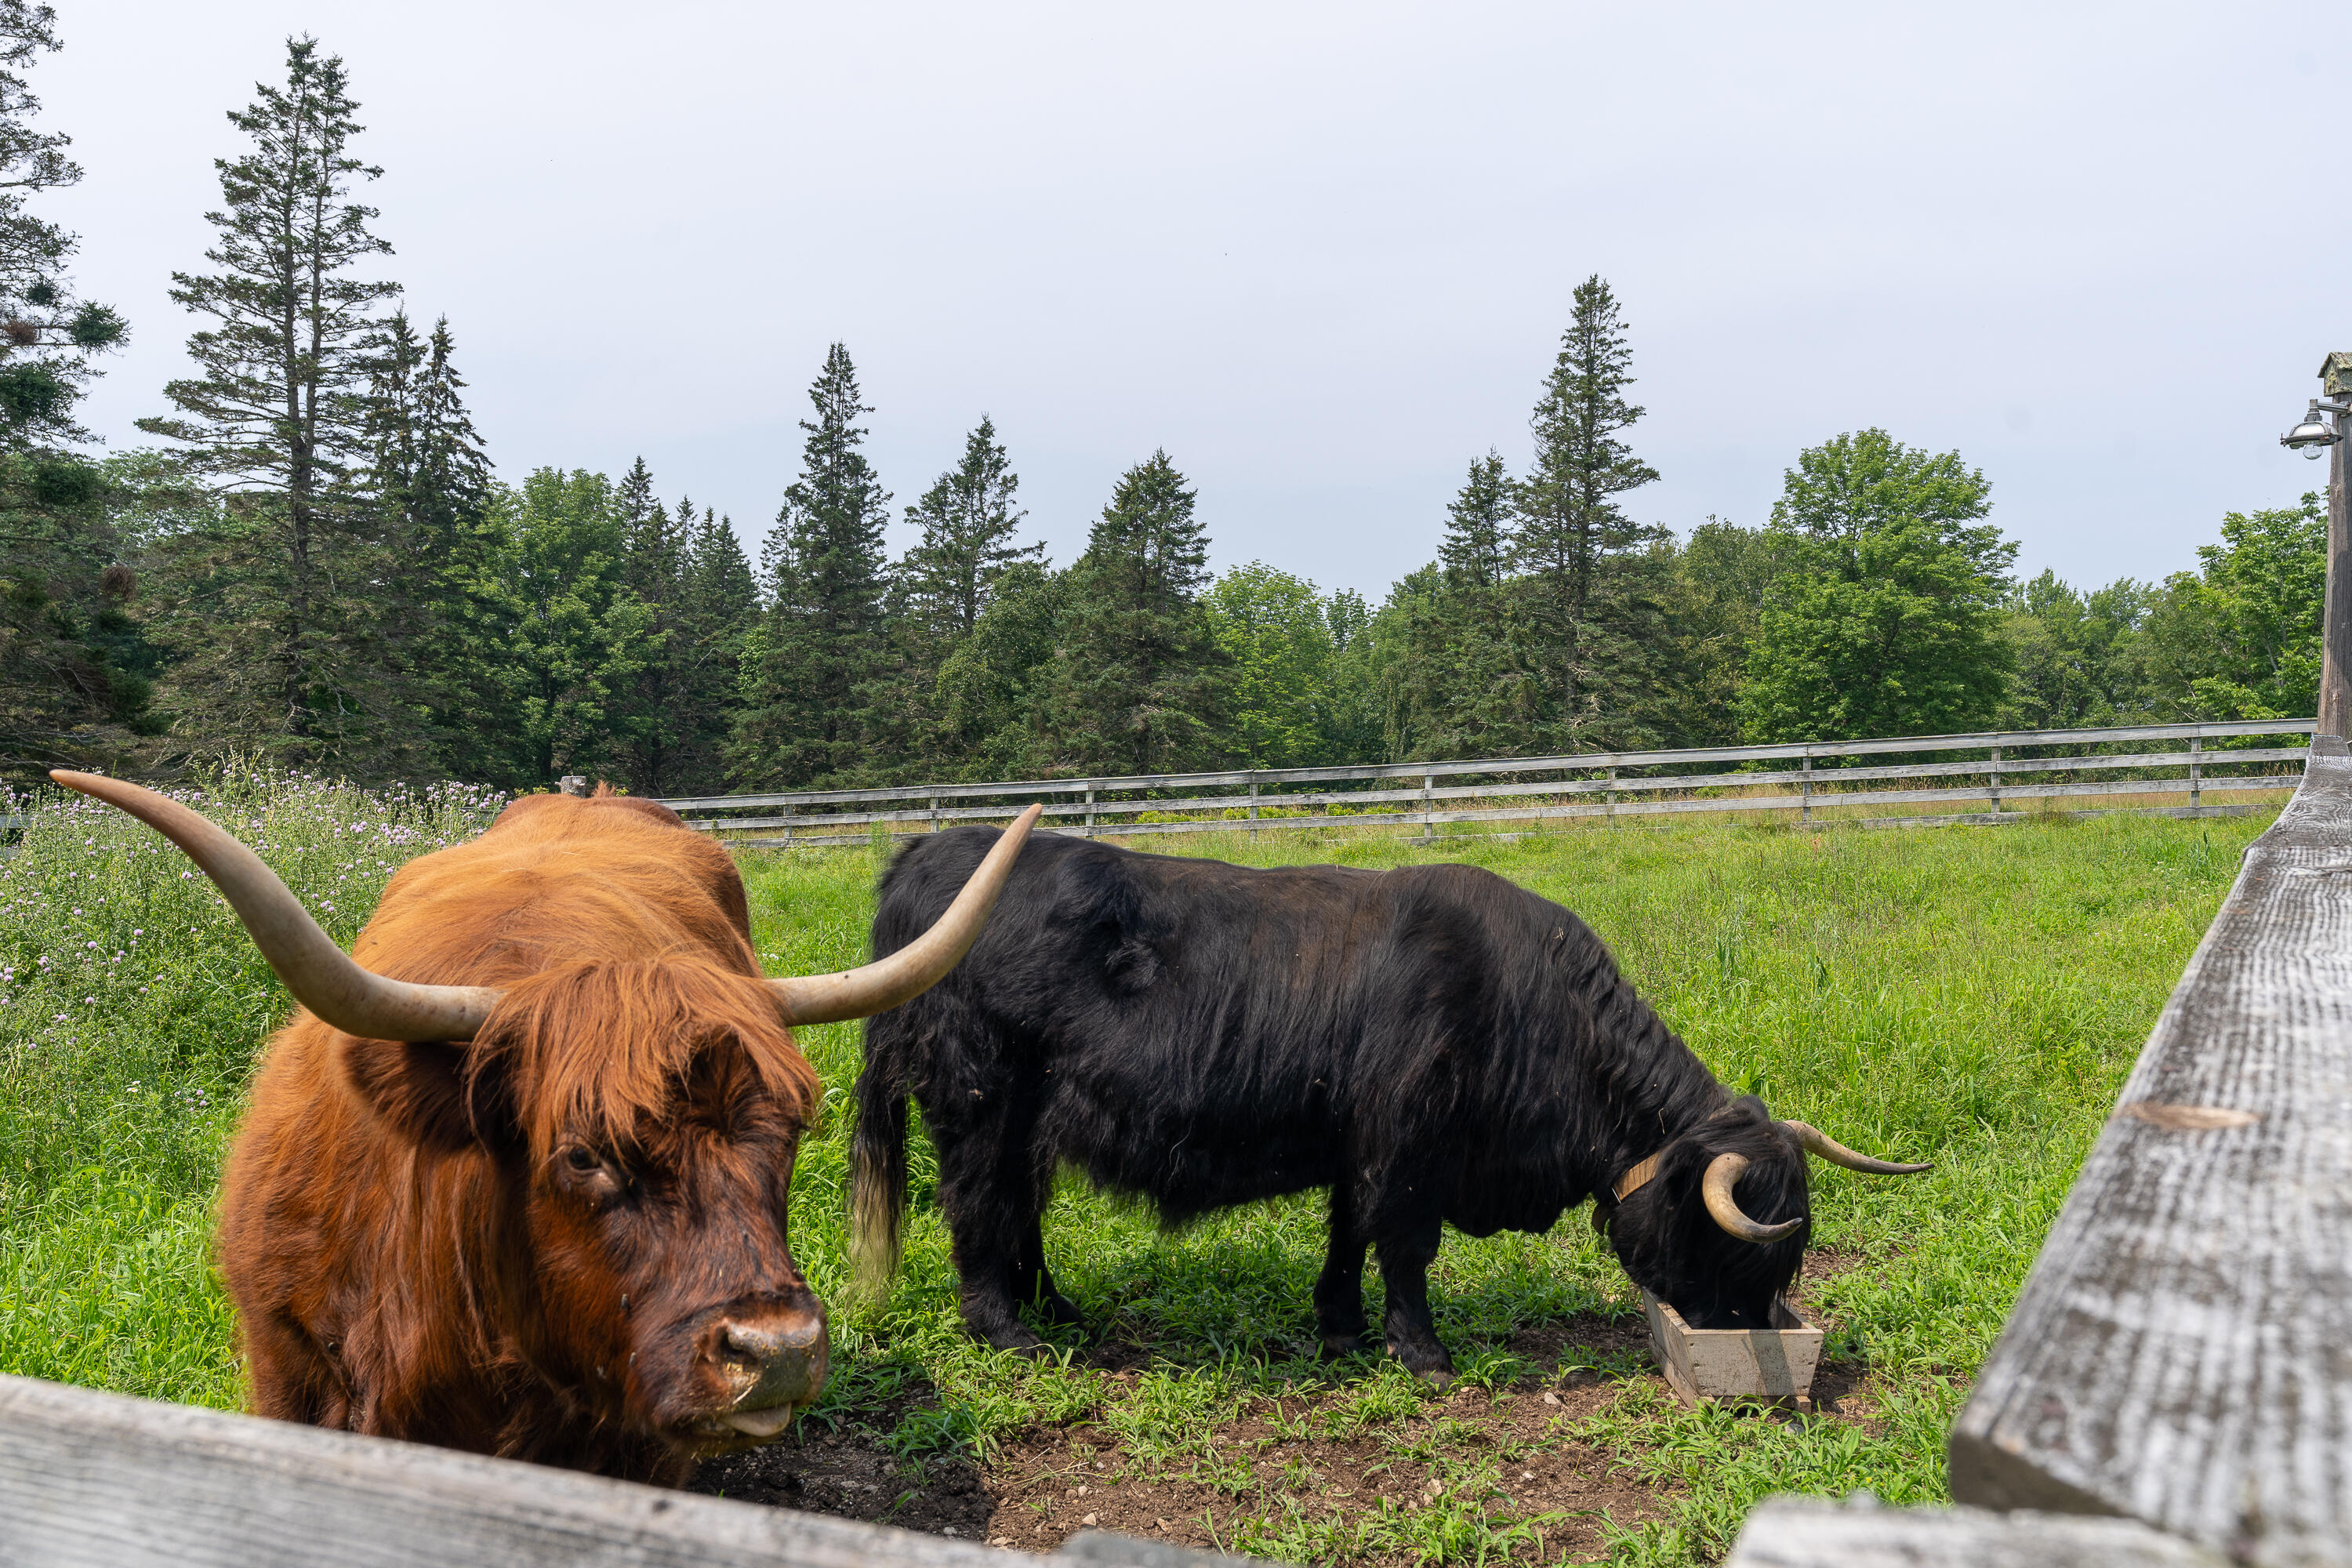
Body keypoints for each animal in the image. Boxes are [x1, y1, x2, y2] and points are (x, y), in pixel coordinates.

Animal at [852, 827, 1928, 1384]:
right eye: (1737, 1245)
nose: (1744, 1330)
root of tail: (926, 851)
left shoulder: (1357, 1141)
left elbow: (1348, 1234)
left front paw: (1340, 1324)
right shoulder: (1411, 1145)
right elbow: (1405, 1246)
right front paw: (1423, 1349)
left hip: (1027, 1118)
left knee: (1020, 1207)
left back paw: (1059, 1305)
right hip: (977, 1097)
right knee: (978, 1205)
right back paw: (1008, 1328)